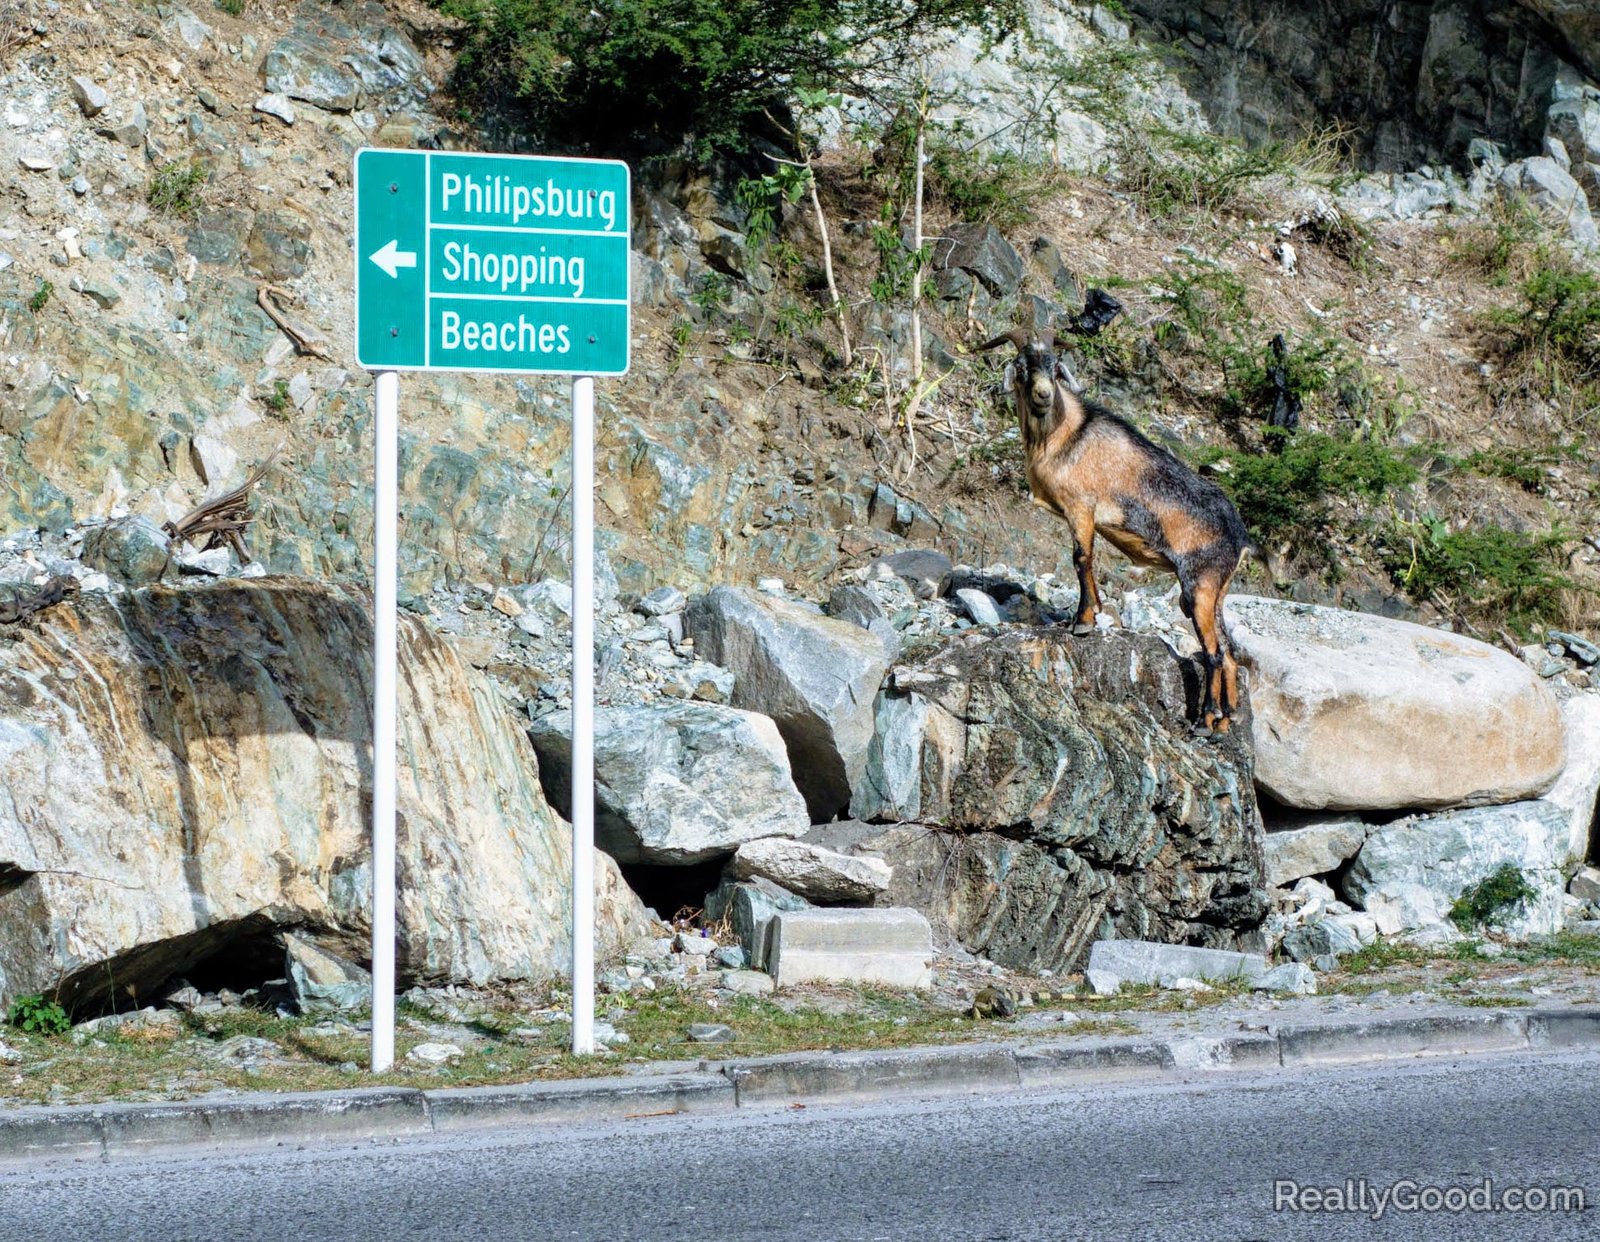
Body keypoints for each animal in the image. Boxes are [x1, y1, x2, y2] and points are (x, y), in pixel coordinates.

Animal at [972, 329, 1260, 736]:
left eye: (1055, 369)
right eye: (1023, 368)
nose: (1043, 396)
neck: (1064, 435)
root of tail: (1240, 537)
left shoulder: (1081, 507)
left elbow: (1081, 558)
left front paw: (1082, 622)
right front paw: (1092, 613)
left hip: (1199, 584)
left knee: (1214, 653)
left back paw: (1204, 720)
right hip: (1217, 591)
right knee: (1230, 654)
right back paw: (1224, 720)